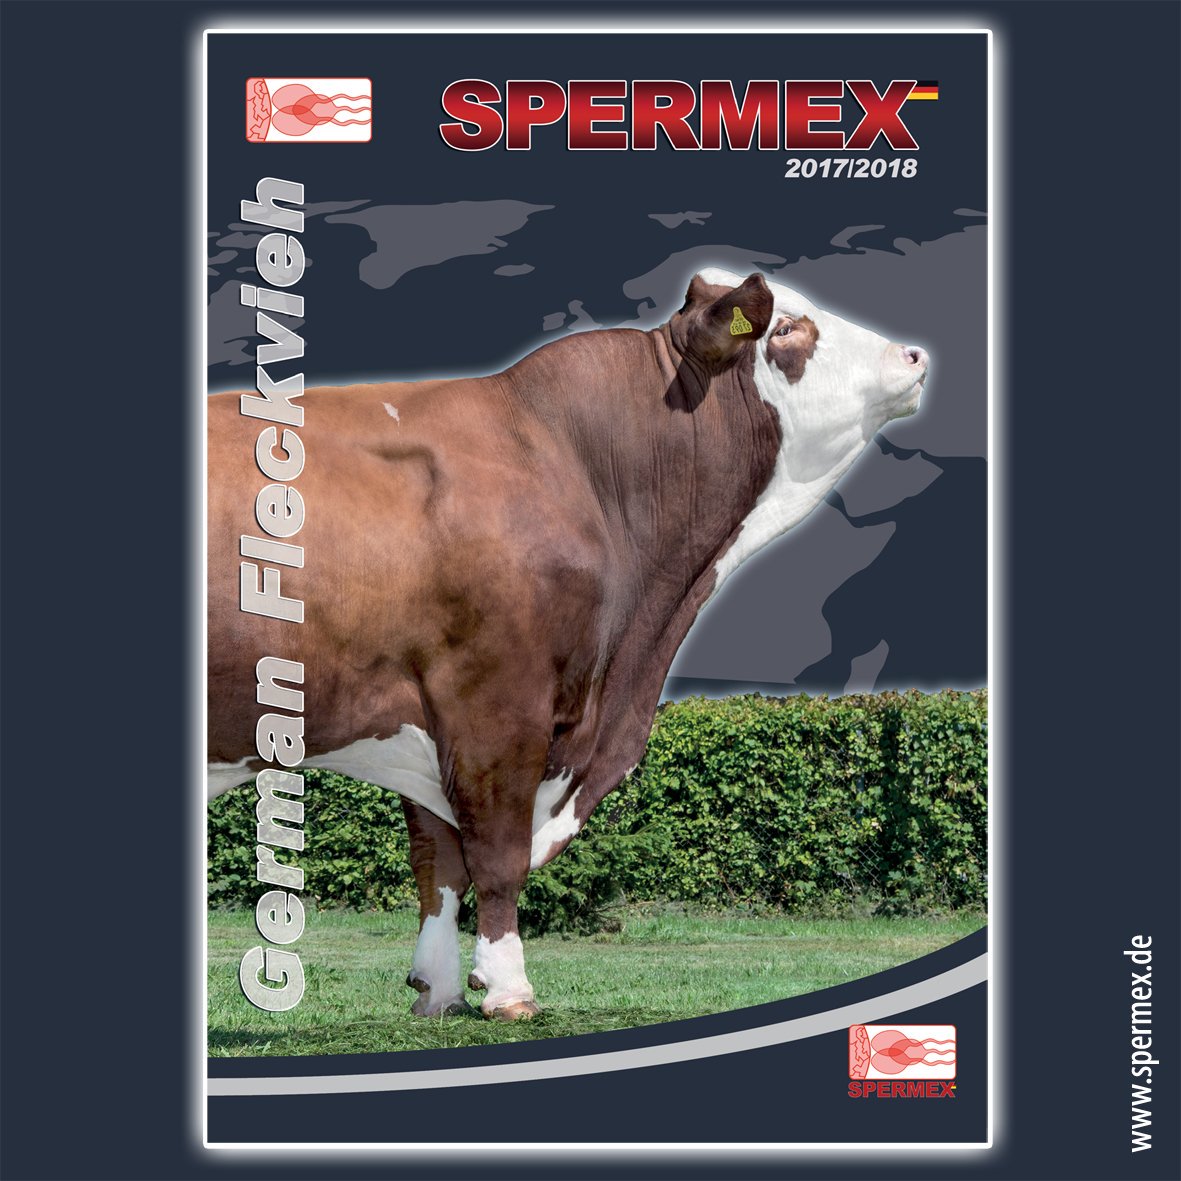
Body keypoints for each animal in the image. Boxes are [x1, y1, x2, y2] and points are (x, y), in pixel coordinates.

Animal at [208, 268, 929, 1020]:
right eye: (787, 328)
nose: (912, 356)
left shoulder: (425, 713)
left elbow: (437, 860)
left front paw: (436, 988)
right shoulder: (496, 701)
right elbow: (496, 854)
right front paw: (506, 986)